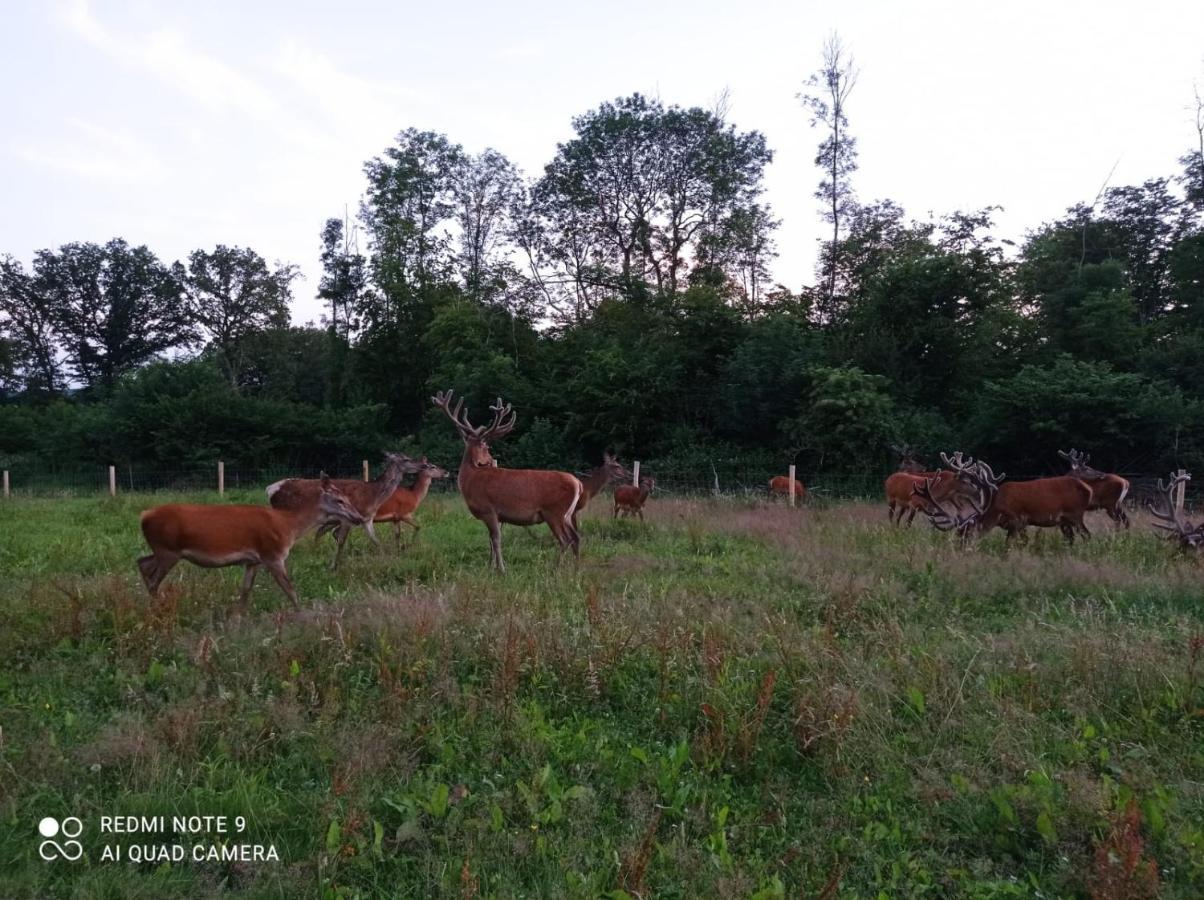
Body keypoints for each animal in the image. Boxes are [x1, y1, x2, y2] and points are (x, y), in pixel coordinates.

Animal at [136, 471, 361, 611]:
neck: (288, 526)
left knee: (142, 563)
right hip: (168, 550)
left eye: (348, 499)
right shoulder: (273, 554)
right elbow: (291, 591)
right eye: (340, 500)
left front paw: (238, 620)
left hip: (162, 550)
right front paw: (303, 617)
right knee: (154, 580)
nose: (358, 517)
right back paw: (158, 609)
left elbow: (245, 592)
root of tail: (144, 516)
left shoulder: (253, 560)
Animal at [267, 450, 433, 570]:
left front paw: (387, 559)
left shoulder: (367, 519)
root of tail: (270, 489)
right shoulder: (347, 519)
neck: (372, 495)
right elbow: (341, 541)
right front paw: (333, 566)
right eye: (406, 459)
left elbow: (376, 541)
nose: (424, 466)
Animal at [433, 385, 582, 570]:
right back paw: (576, 569)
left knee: (564, 539)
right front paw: (491, 566)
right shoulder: (497, 516)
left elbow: (496, 540)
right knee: (576, 537)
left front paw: (501, 569)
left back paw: (556, 568)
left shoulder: (489, 509)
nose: (490, 460)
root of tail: (578, 483)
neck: (470, 480)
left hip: (554, 511)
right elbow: (491, 540)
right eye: (486, 447)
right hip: (567, 514)